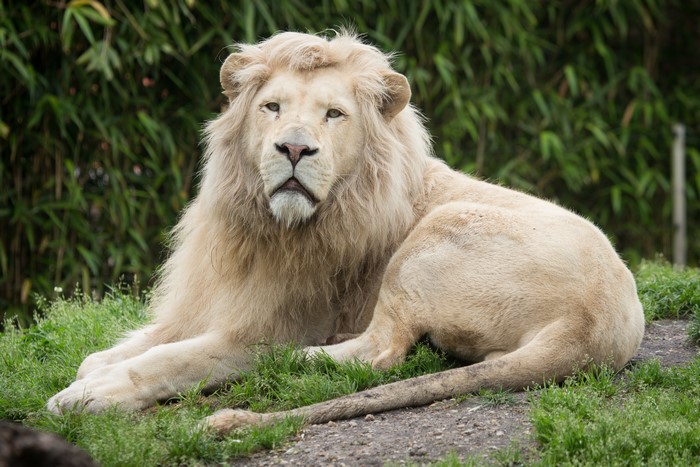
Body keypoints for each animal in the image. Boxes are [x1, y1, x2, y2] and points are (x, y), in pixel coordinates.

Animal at [47, 31, 645, 434]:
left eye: (334, 114)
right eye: (271, 107)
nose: (294, 148)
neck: (264, 227)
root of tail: (592, 328)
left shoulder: (264, 328)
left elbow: (171, 359)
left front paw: (90, 394)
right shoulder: (206, 301)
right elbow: (129, 346)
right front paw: (94, 369)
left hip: (437, 232)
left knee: (381, 351)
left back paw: (300, 359)